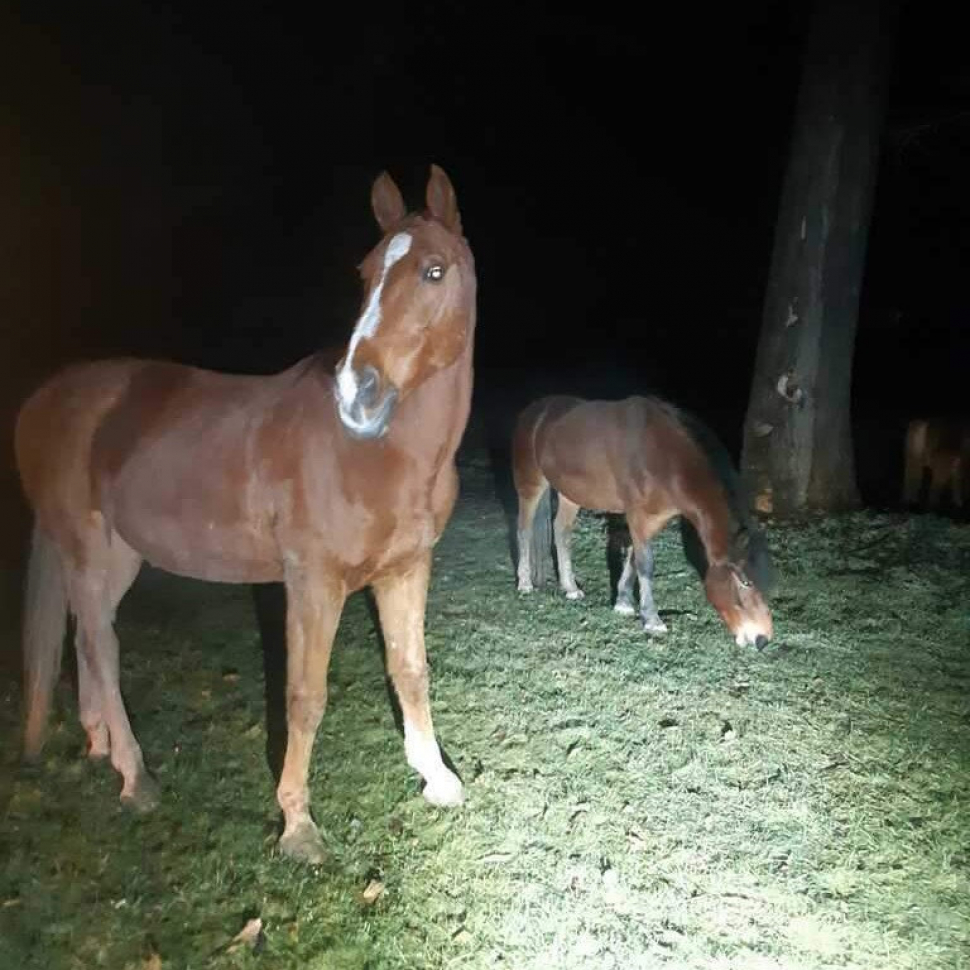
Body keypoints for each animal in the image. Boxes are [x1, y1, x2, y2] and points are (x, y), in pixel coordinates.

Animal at [15, 164, 476, 864]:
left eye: (434, 271)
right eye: (365, 274)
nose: (356, 394)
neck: (379, 454)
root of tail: (47, 398)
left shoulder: (406, 570)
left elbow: (410, 671)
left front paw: (437, 778)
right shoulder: (312, 583)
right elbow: (305, 697)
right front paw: (297, 825)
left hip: (116, 555)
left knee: (87, 639)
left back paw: (100, 746)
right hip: (88, 547)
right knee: (102, 645)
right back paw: (135, 776)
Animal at [510, 394, 776, 652]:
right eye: (746, 581)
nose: (762, 639)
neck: (668, 459)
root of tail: (535, 410)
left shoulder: (649, 520)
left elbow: (633, 559)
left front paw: (623, 603)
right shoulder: (639, 517)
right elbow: (646, 565)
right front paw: (651, 620)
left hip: (570, 494)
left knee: (561, 532)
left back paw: (571, 588)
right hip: (531, 483)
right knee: (523, 530)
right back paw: (524, 583)